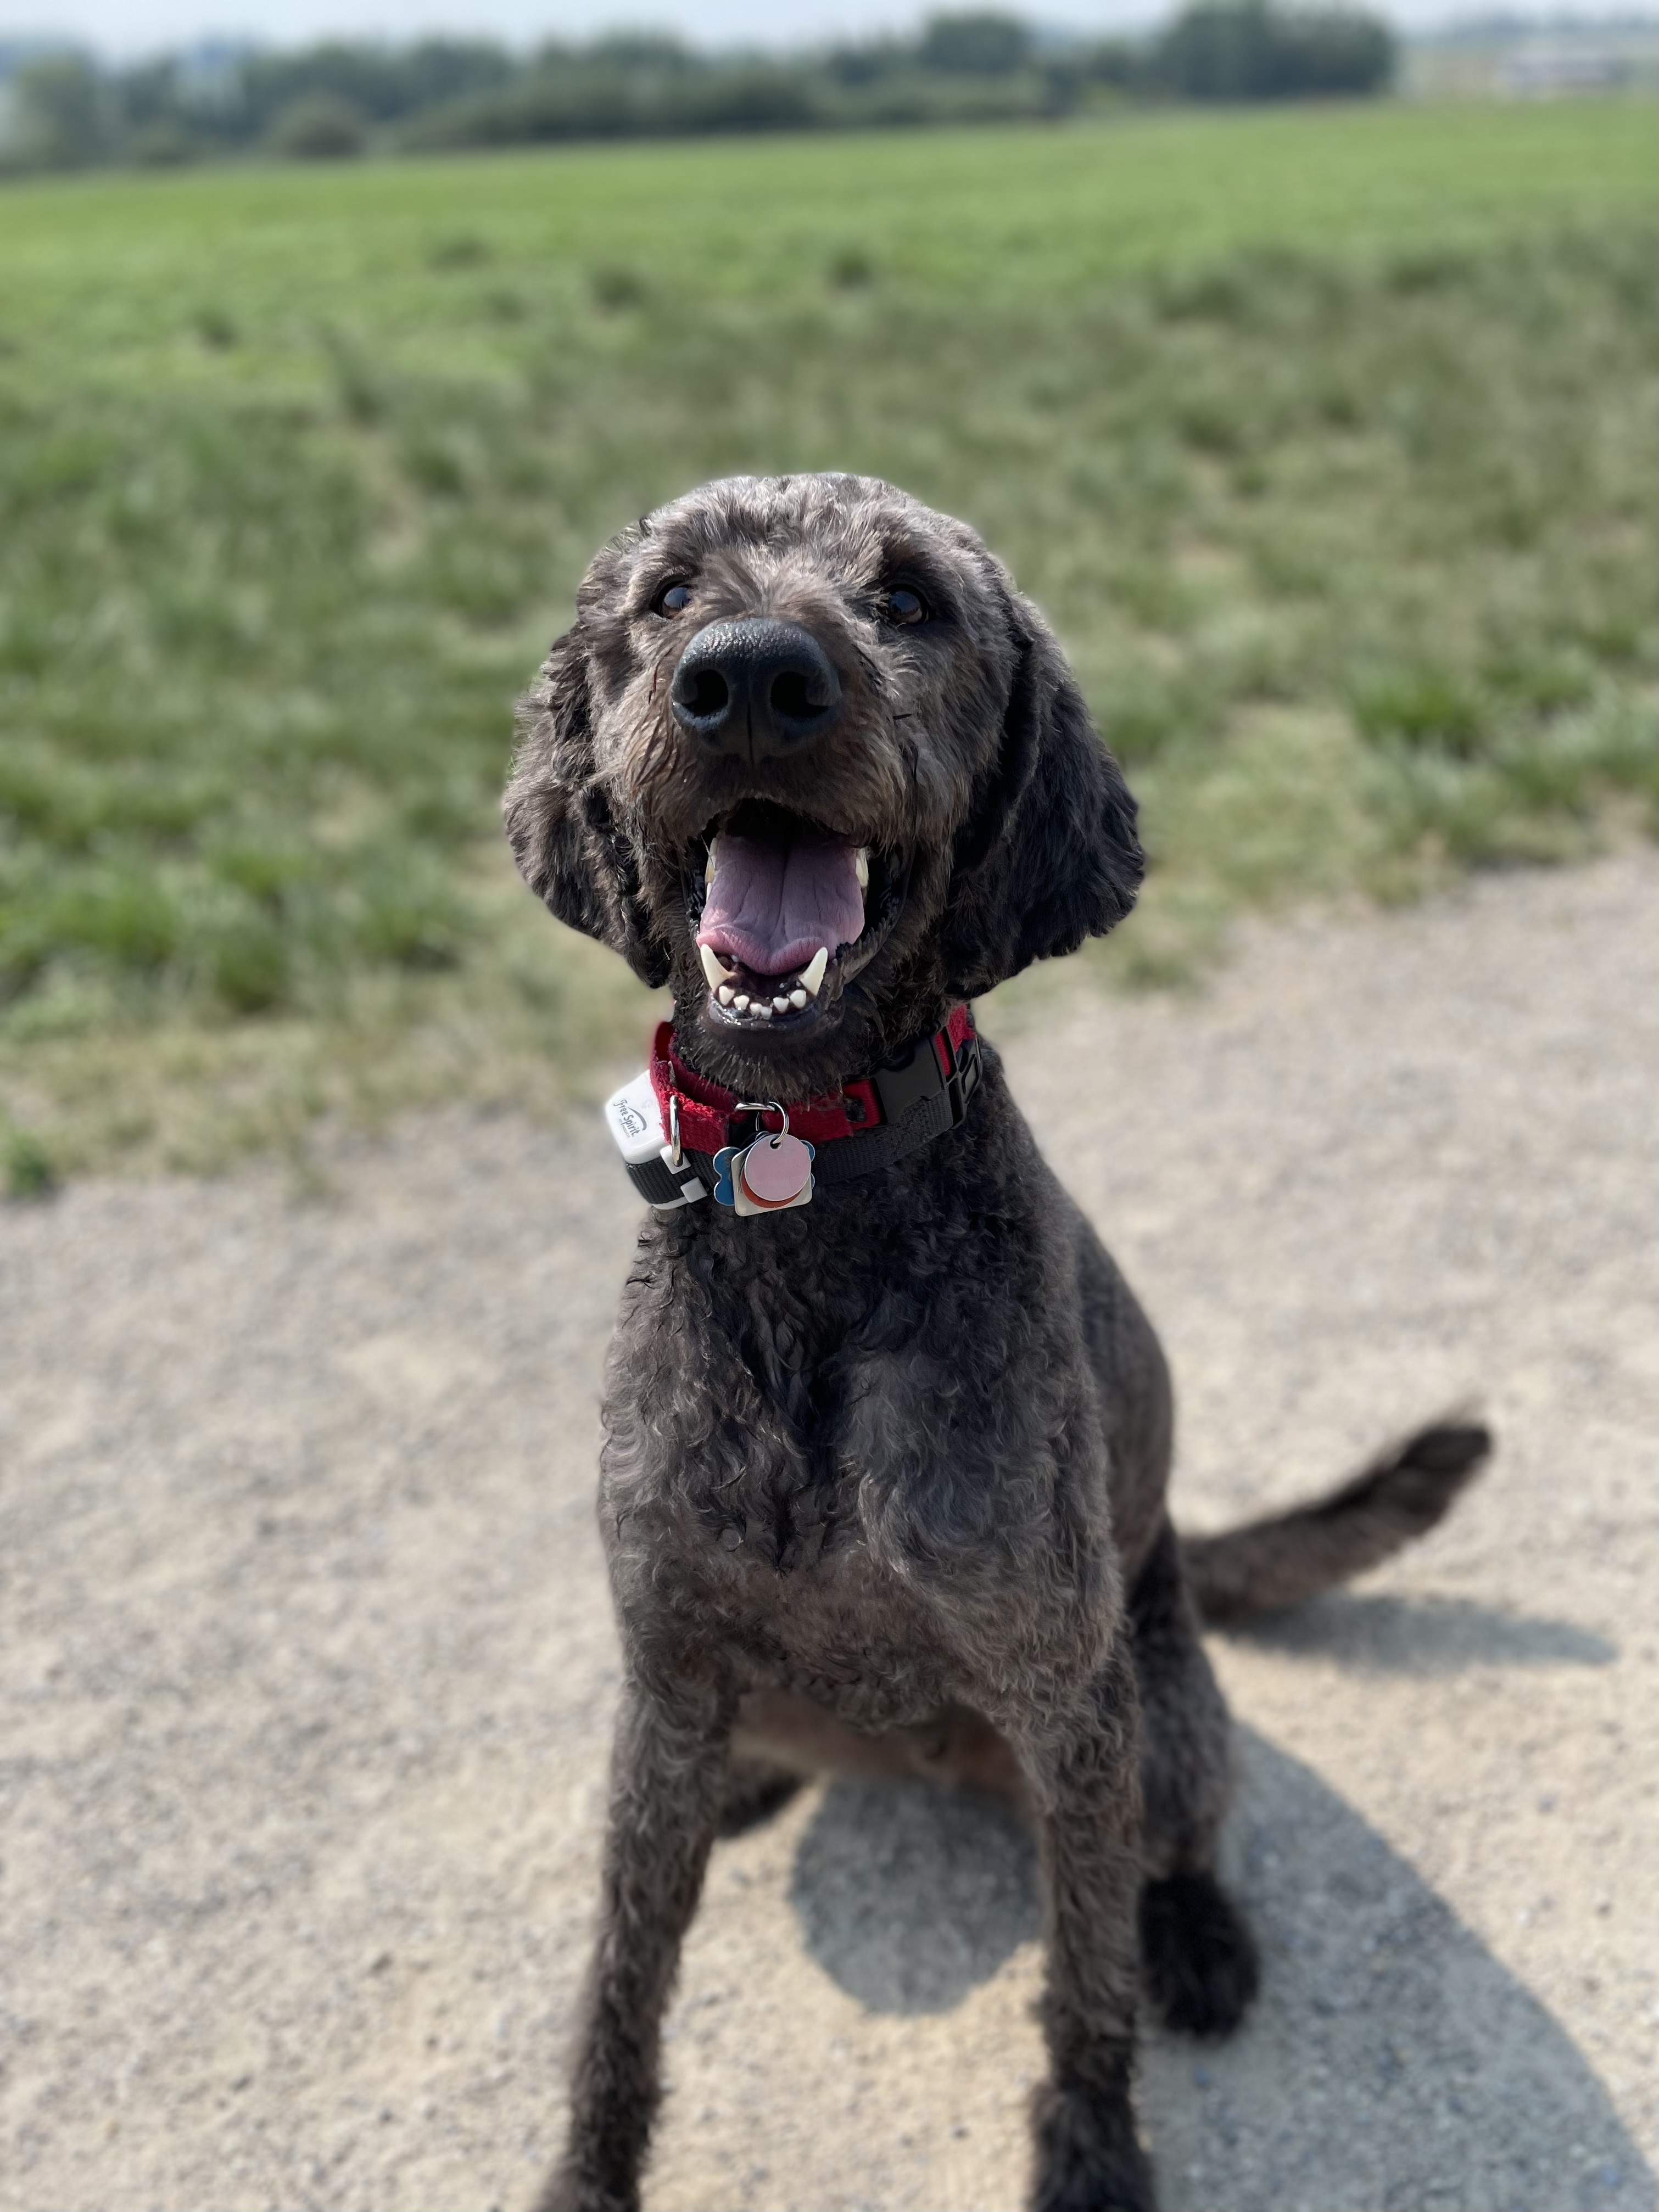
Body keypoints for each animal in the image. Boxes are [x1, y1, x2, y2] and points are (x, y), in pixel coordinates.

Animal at [503, 471, 1489, 2212]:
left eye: (908, 600)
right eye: (669, 591)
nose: (749, 675)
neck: (809, 1176)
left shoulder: (1066, 1704)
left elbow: (1082, 1980)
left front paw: (1091, 2154)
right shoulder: (663, 1676)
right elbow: (619, 1988)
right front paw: (586, 2173)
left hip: (1156, 1721)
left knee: (1180, 1841)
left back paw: (1199, 1931)